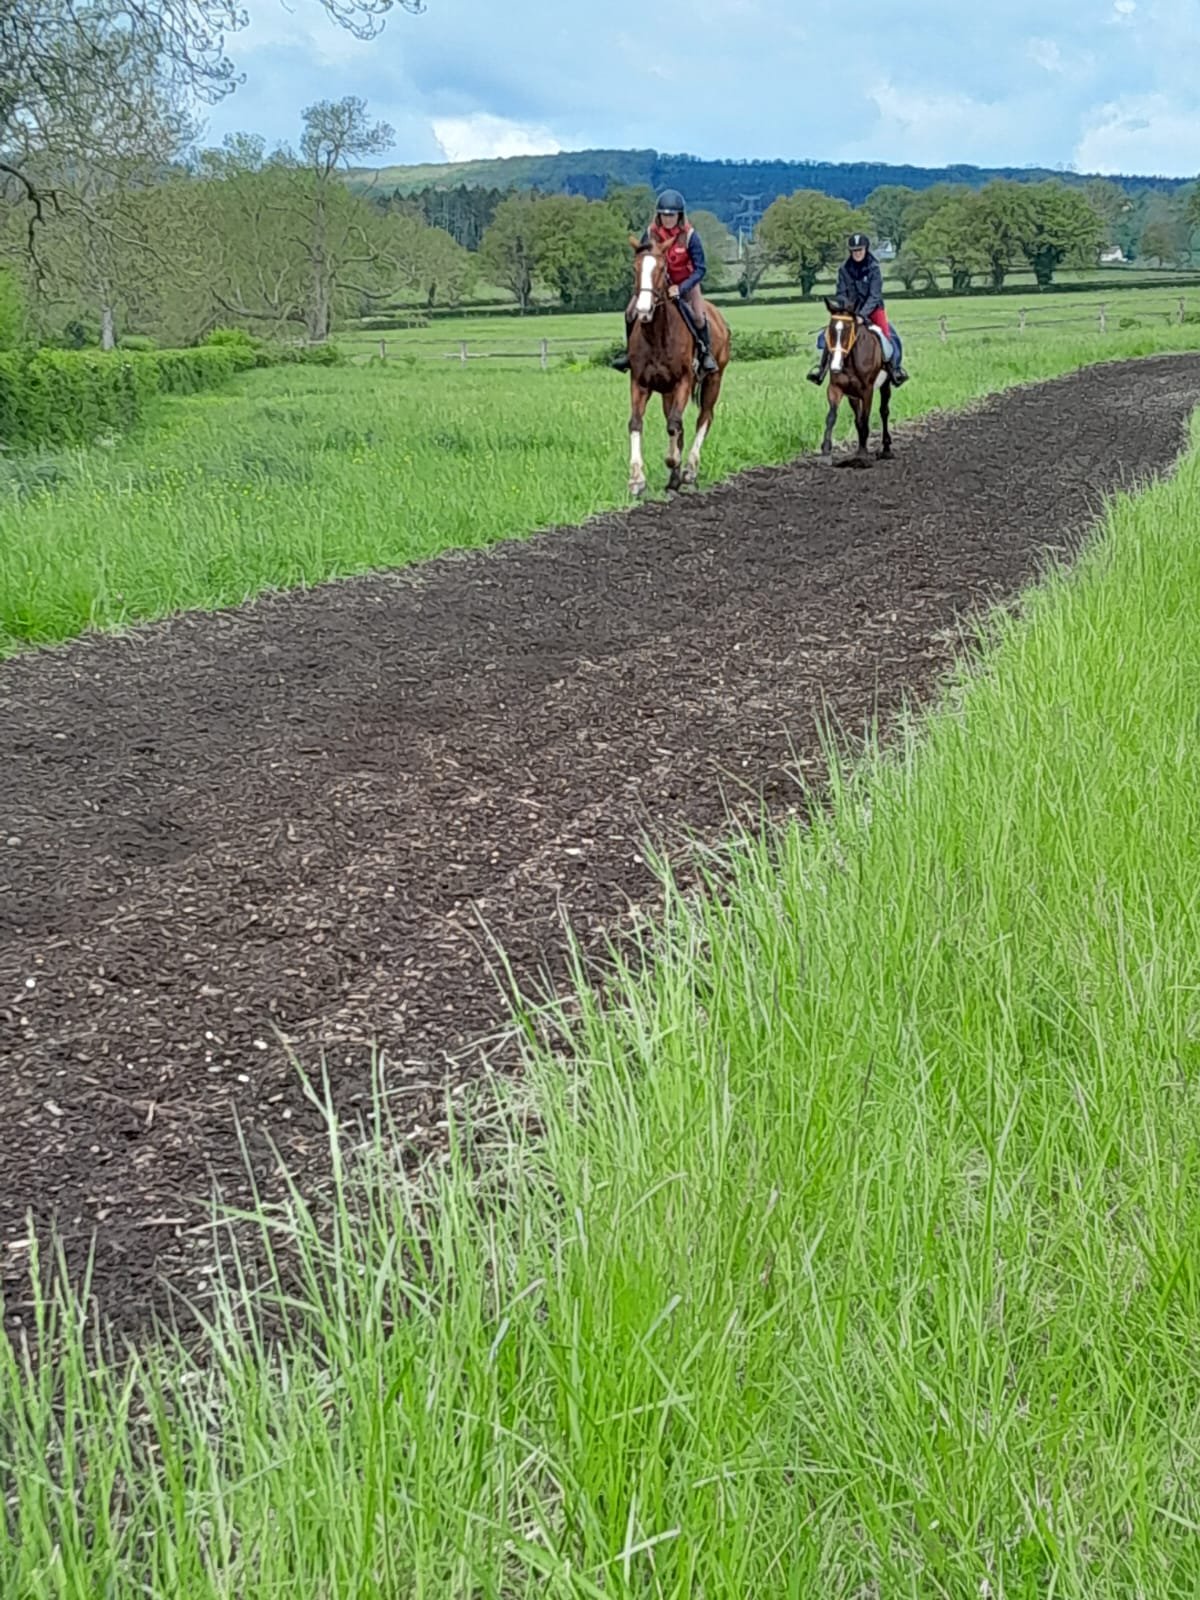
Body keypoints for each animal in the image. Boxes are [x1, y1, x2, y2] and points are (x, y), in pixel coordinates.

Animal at [625, 234, 731, 497]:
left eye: (662, 268)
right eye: (635, 268)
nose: (643, 311)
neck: (657, 336)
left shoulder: (683, 381)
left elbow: (674, 425)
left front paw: (673, 461)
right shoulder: (640, 383)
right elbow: (636, 423)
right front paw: (636, 479)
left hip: (713, 380)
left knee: (704, 418)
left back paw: (690, 471)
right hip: (667, 392)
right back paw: (675, 479)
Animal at [819, 298, 893, 468]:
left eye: (847, 330)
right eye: (830, 330)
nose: (835, 365)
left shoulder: (867, 391)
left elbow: (865, 420)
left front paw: (863, 456)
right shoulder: (837, 388)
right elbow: (831, 417)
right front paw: (826, 451)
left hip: (885, 385)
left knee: (884, 411)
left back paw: (886, 448)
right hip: (853, 395)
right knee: (859, 419)